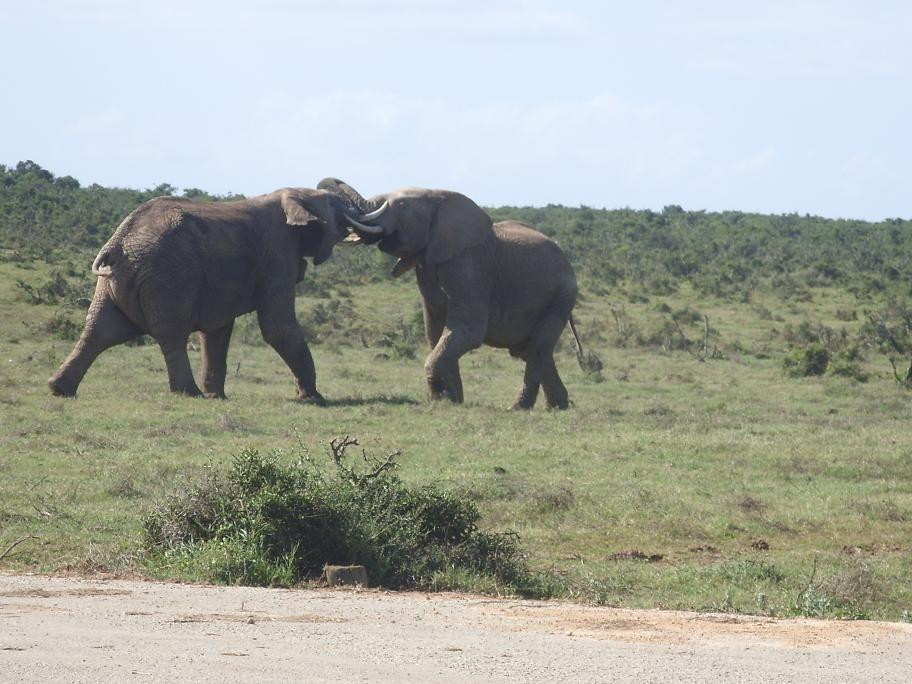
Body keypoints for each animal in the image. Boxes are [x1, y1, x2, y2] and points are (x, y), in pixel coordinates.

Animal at [48, 187, 359, 403]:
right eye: (334, 204)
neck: (291, 193)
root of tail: (117, 243)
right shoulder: (278, 257)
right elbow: (277, 327)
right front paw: (315, 399)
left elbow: (216, 331)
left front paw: (217, 397)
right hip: (169, 277)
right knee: (171, 333)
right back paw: (189, 393)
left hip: (114, 283)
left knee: (99, 330)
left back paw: (59, 389)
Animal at [318, 178, 583, 409]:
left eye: (402, 206)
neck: (436, 195)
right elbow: (436, 332)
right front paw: (448, 400)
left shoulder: (468, 267)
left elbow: (466, 331)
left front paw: (443, 398)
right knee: (531, 350)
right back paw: (558, 406)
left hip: (562, 295)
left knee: (537, 347)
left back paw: (518, 408)